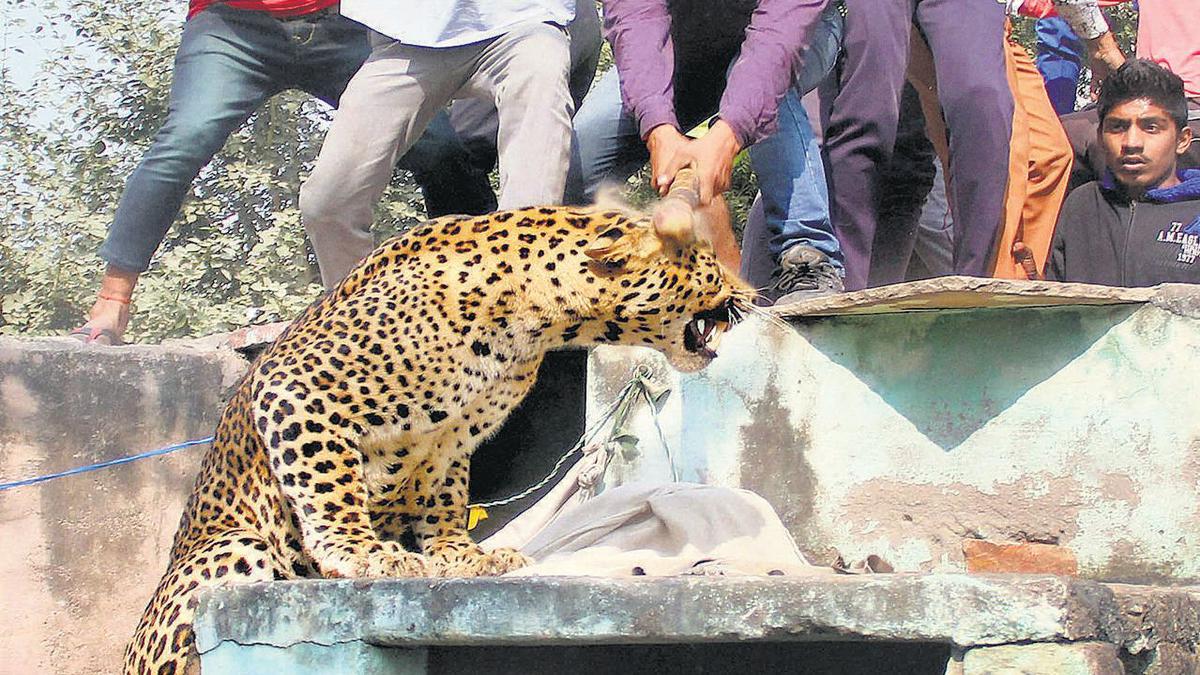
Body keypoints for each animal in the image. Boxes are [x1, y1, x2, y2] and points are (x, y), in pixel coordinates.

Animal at [126, 176, 753, 667]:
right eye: (706, 259)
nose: (752, 294)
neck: (540, 319)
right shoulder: (298, 387)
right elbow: (330, 486)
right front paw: (362, 552)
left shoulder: (446, 438)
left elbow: (443, 497)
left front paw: (463, 555)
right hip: (231, 551)